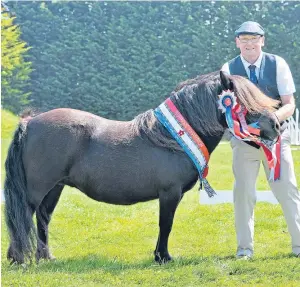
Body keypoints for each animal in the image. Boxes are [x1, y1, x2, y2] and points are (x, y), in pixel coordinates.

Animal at [3, 71, 278, 266]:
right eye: (244, 103)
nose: (276, 125)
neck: (170, 138)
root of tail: (30, 122)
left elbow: (165, 225)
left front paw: (159, 255)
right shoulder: (169, 193)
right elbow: (165, 224)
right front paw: (164, 257)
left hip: (54, 188)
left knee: (43, 218)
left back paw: (45, 257)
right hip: (37, 189)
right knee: (22, 217)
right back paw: (19, 259)